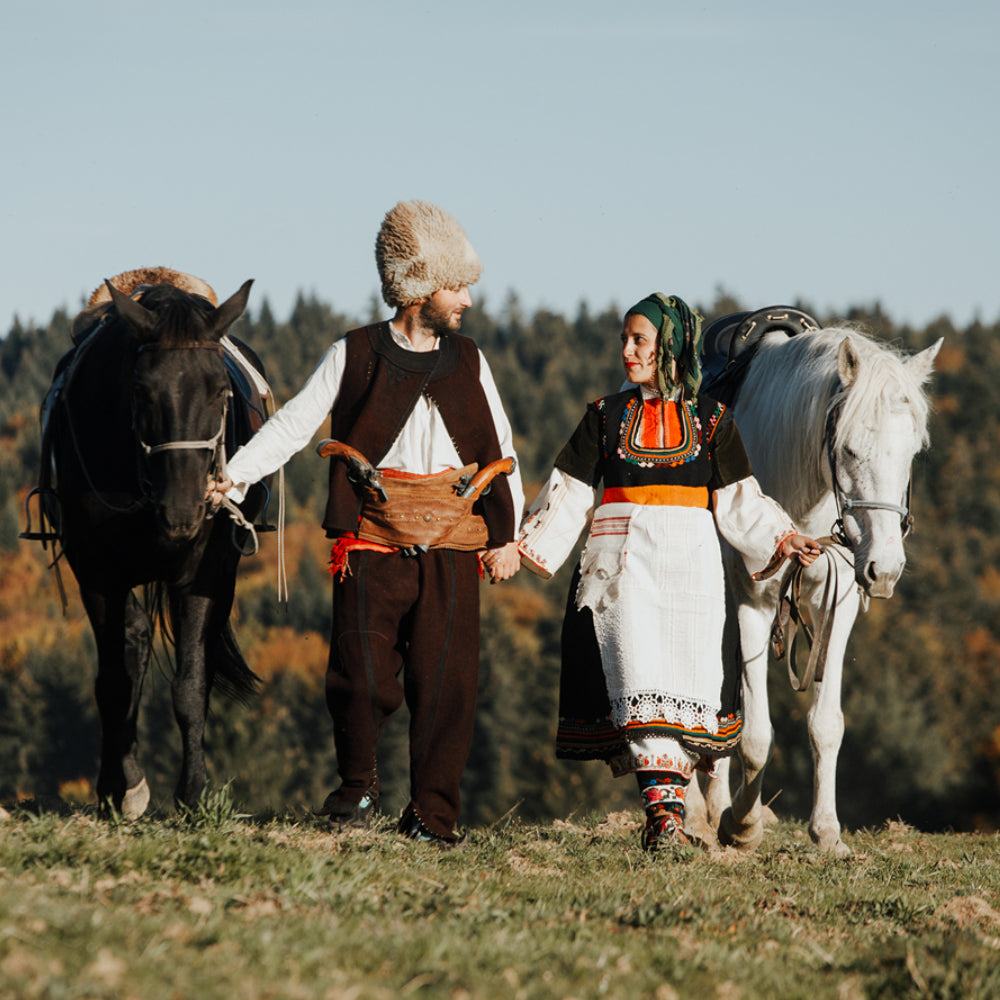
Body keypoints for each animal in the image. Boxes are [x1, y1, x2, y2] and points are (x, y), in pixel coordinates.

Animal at [40, 276, 270, 820]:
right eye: (141, 390)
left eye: (219, 390)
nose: (182, 509)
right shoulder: (97, 572)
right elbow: (114, 681)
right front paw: (112, 787)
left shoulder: (205, 570)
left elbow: (190, 684)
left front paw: (192, 793)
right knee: (135, 644)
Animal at [692, 324, 940, 856]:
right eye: (848, 450)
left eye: (911, 454)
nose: (885, 569)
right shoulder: (752, 606)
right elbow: (756, 736)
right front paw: (741, 825)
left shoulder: (837, 607)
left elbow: (826, 725)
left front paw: (826, 832)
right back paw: (704, 813)